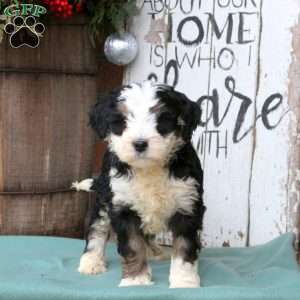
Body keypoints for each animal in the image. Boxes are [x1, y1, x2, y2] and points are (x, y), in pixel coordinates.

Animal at [73, 81, 206, 288]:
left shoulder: (187, 204)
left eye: (162, 120)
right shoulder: (122, 206)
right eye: (121, 121)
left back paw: (156, 252)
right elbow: (133, 245)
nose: (140, 144)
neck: (149, 169)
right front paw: (136, 280)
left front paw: (184, 282)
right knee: (97, 227)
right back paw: (91, 262)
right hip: (104, 195)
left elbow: (184, 246)